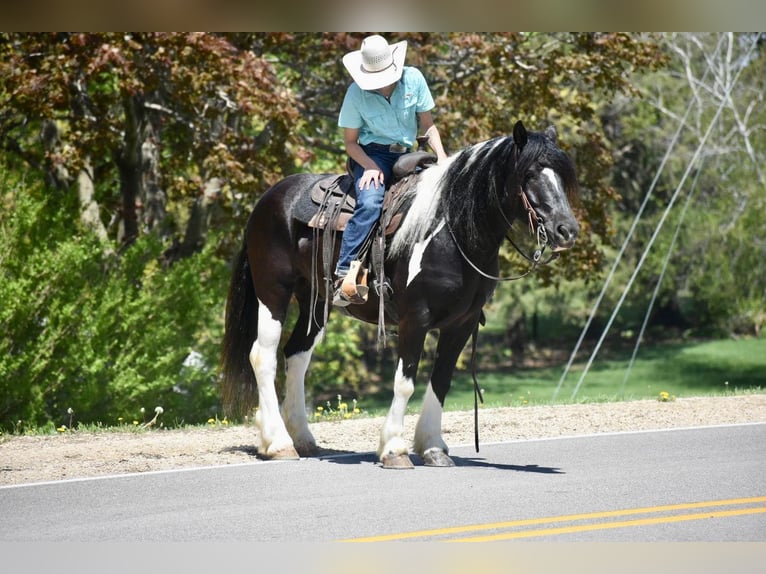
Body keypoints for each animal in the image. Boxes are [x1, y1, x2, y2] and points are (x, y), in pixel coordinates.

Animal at [219, 121, 580, 468]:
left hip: (315, 302)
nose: (567, 230)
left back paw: (303, 439)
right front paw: (394, 449)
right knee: (263, 356)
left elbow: (441, 381)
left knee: (296, 355)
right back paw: (278, 443)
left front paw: (433, 448)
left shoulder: (460, 325)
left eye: (563, 176)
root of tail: (268, 198)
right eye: (529, 174)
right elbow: (405, 381)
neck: (451, 232)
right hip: (273, 291)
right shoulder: (414, 320)